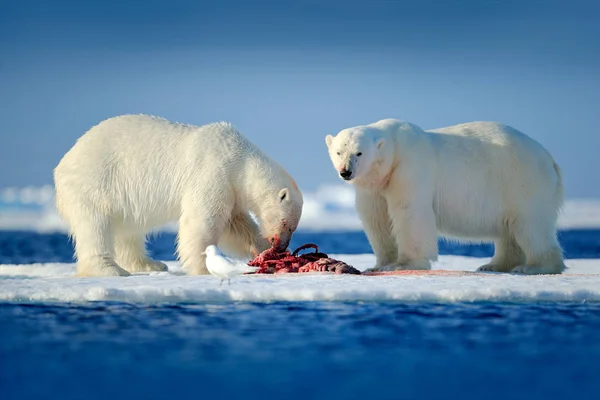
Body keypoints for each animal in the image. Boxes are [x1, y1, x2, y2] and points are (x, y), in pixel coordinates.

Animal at [54, 114, 302, 276]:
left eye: (293, 227)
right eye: (287, 224)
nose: (281, 246)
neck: (239, 157)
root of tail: (63, 163)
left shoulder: (231, 188)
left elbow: (236, 225)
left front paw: (265, 253)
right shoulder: (214, 171)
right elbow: (203, 221)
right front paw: (203, 268)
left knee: (128, 230)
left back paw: (150, 264)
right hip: (95, 182)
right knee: (95, 225)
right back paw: (110, 269)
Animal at [326, 119, 564, 276]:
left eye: (359, 153)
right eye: (339, 152)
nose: (345, 172)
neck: (394, 150)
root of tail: (549, 158)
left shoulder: (410, 168)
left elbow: (410, 212)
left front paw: (403, 264)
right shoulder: (375, 188)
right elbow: (377, 220)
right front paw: (378, 265)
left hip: (521, 181)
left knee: (530, 225)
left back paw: (534, 266)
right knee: (510, 230)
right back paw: (494, 265)